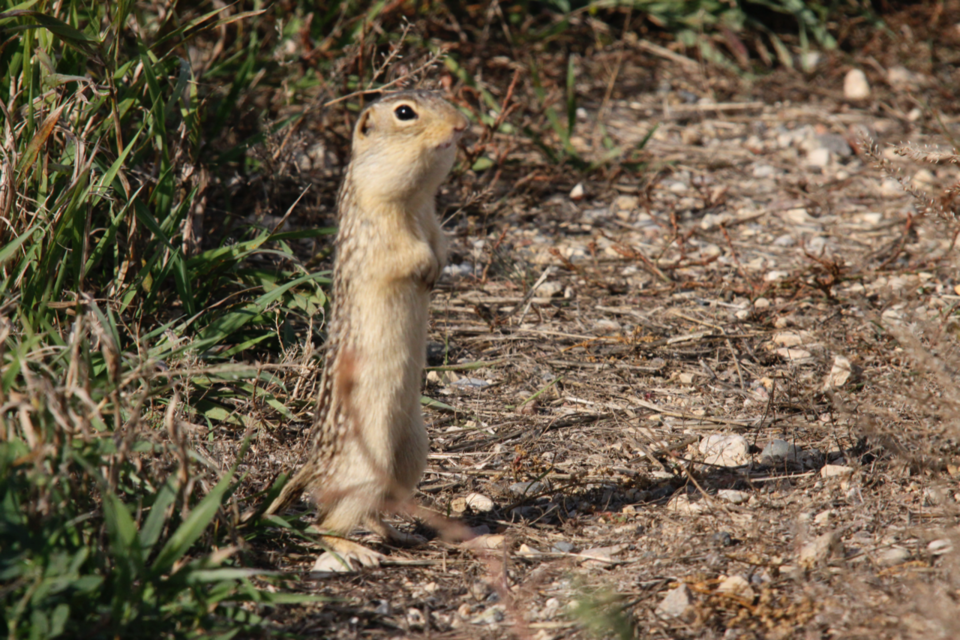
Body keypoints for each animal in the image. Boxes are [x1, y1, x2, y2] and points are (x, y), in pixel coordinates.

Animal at [264, 89, 470, 568]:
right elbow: (406, 255)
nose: (461, 125)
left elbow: (442, 241)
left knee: (375, 511)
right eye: (405, 113)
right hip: (366, 468)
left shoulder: (433, 219)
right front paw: (426, 268)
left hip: (411, 455)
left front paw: (440, 268)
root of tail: (316, 462)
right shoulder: (382, 233)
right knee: (324, 524)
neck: (413, 202)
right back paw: (355, 550)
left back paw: (401, 535)